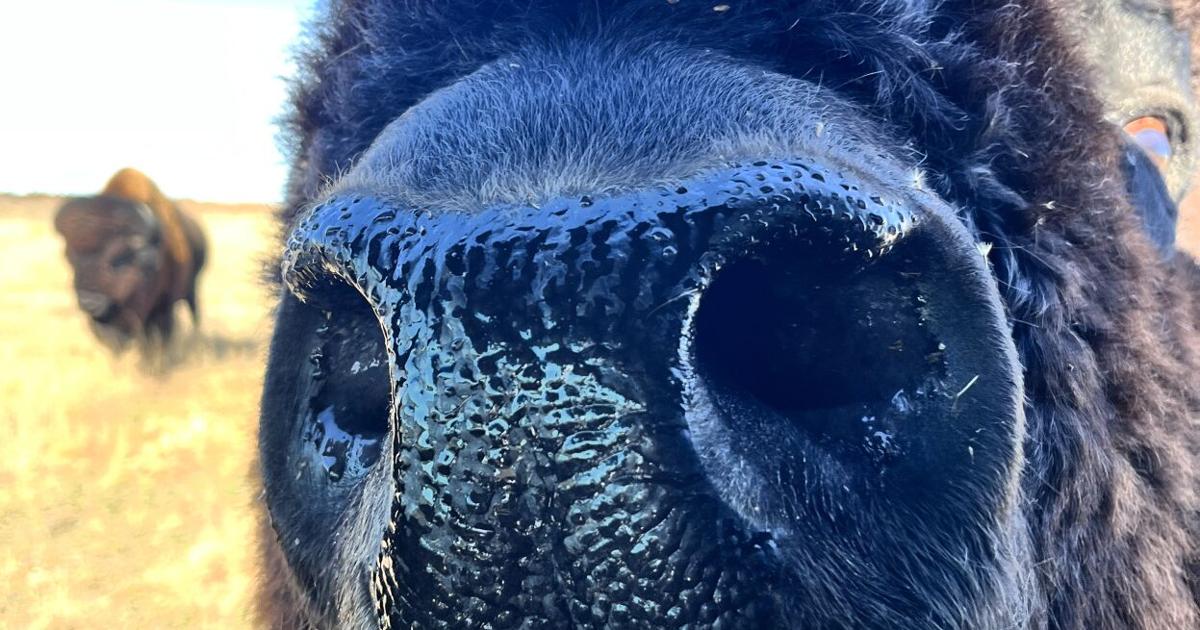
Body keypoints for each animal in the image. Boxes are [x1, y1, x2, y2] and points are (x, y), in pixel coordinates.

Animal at [54, 168, 207, 354]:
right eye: (70, 256)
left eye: (120, 259)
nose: (89, 302)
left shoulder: (164, 308)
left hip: (192, 288)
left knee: (194, 313)